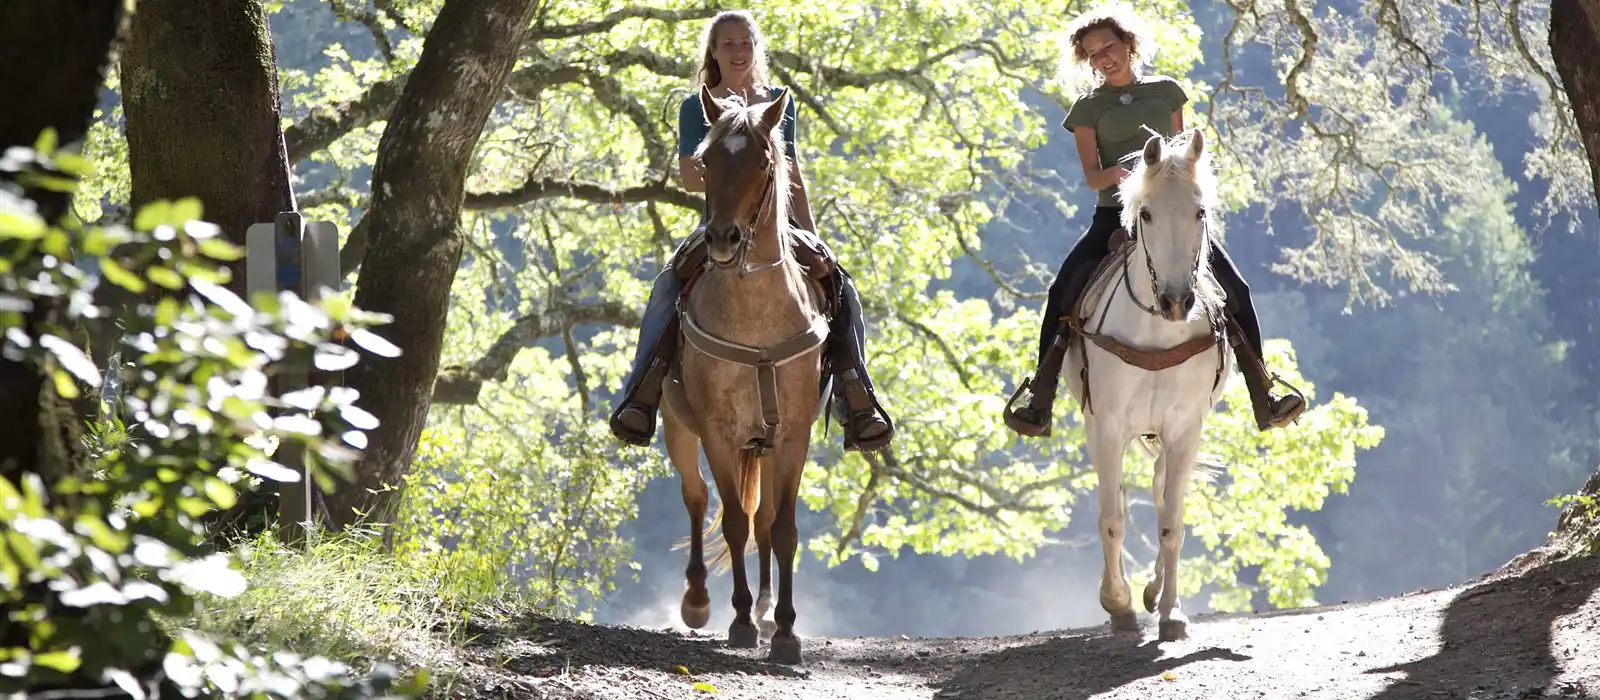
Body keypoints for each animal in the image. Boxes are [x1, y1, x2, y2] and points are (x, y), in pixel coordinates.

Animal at [662, 84, 838, 664]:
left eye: (763, 162)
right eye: (706, 161)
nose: (722, 238)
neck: (756, 318)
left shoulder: (794, 436)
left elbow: (780, 530)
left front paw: (783, 631)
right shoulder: (718, 433)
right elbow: (734, 522)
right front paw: (738, 622)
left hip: (761, 448)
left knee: (761, 522)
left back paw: (763, 611)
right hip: (678, 429)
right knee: (697, 499)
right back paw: (699, 601)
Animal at [1062, 128, 1235, 642]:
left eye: (1200, 212)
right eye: (1147, 214)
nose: (1177, 301)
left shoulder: (1185, 430)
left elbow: (1171, 523)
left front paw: (1172, 613)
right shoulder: (1105, 426)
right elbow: (1112, 519)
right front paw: (1117, 604)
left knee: (1160, 494)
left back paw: (1156, 591)